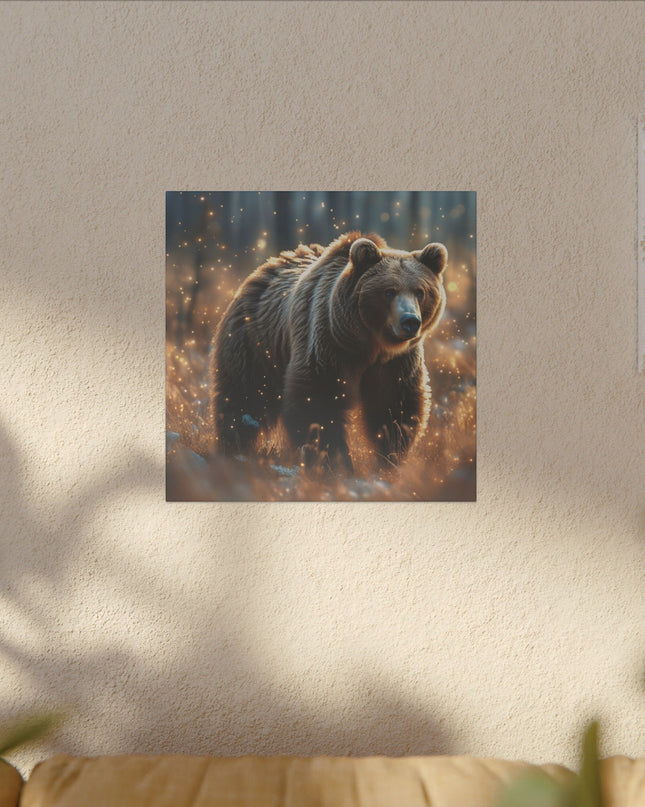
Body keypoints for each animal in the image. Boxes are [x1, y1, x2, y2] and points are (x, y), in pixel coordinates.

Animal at [211, 231, 447, 474]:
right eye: (389, 291)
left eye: (420, 292)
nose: (410, 321)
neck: (369, 344)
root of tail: (265, 267)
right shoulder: (328, 346)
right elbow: (318, 403)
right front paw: (336, 462)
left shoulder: (396, 363)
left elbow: (393, 406)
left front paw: (389, 458)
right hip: (255, 343)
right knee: (243, 398)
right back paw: (233, 449)